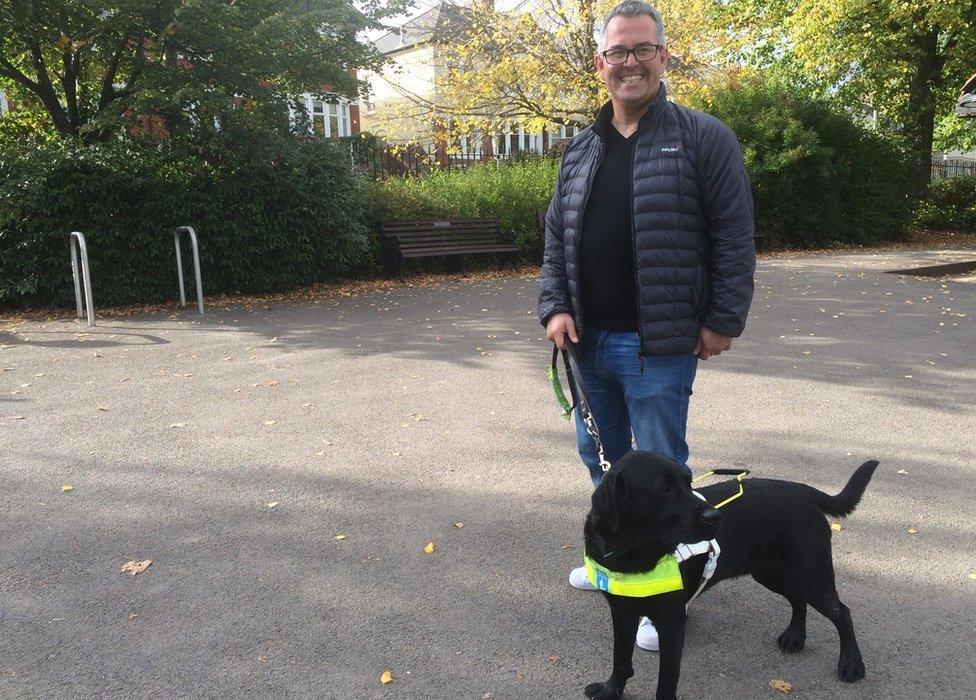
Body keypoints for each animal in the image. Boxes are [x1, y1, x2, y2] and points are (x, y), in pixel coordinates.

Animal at [584, 452, 880, 696]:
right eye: (666, 489)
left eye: (689, 484)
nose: (716, 517)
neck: (630, 553)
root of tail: (801, 490)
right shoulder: (622, 611)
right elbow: (621, 659)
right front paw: (611, 690)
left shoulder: (671, 623)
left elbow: (666, 682)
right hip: (773, 574)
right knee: (798, 600)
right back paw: (795, 636)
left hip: (811, 574)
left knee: (841, 612)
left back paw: (851, 664)